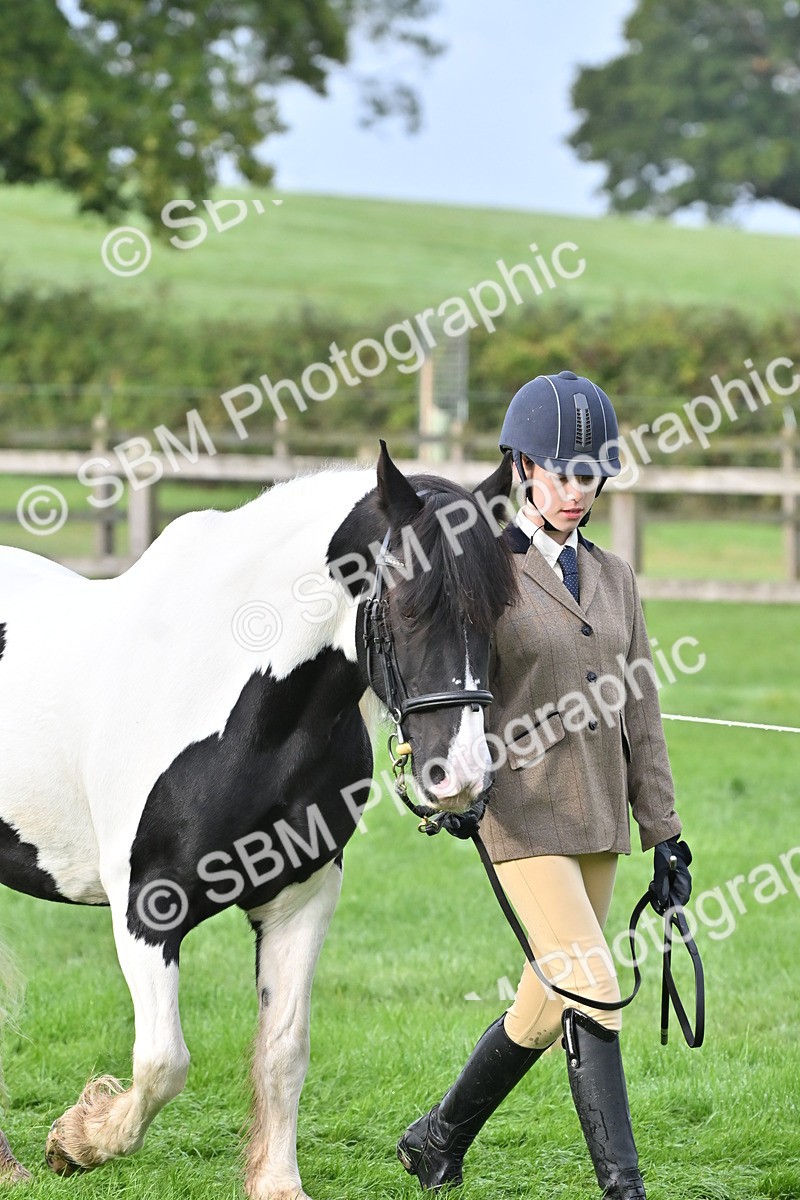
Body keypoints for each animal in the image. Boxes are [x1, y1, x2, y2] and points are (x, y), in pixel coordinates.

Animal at [0, 443, 516, 1198]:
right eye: (406, 605)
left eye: (500, 608)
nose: (464, 776)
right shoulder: (147, 907)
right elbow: (164, 1062)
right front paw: (78, 1140)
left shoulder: (299, 901)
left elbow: (283, 1051)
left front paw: (276, 1182)